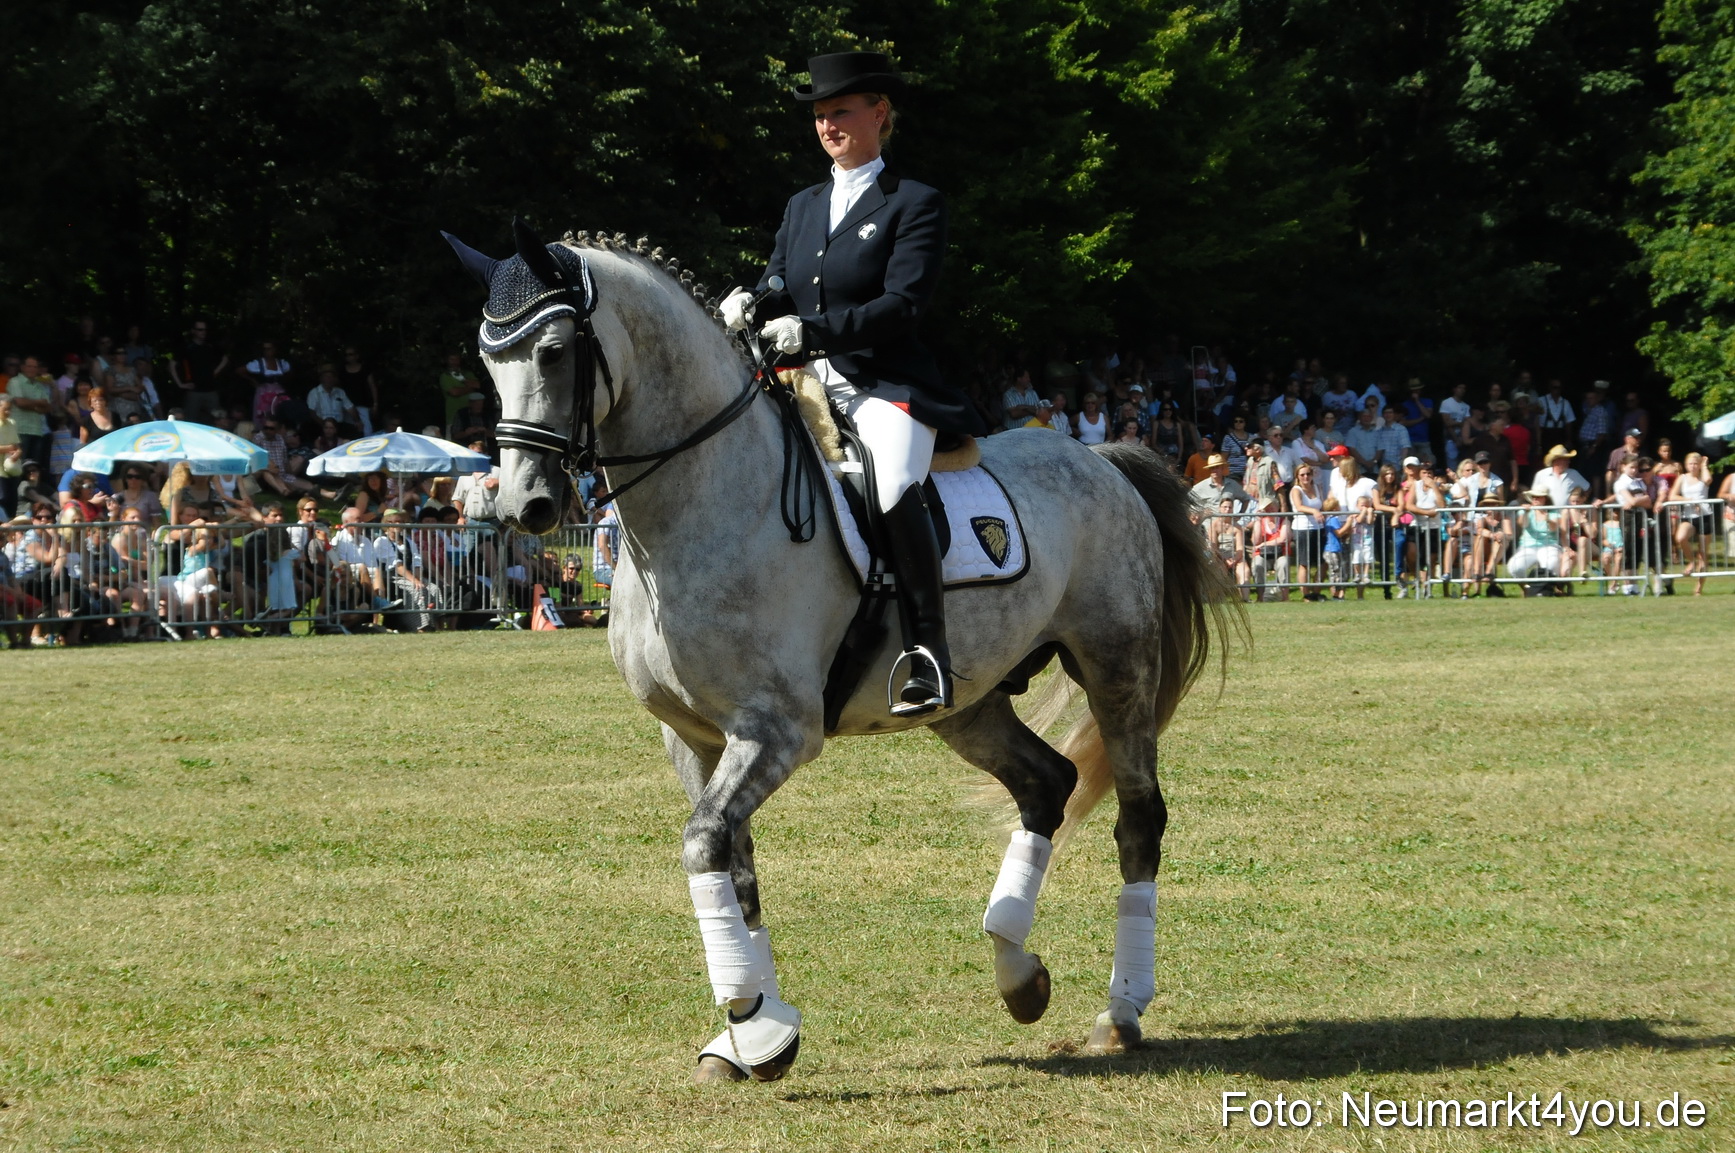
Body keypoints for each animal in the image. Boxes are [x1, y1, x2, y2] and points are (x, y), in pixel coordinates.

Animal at [445, 220, 1237, 1082]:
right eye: (487, 360)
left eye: (555, 351)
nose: (525, 506)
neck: (702, 503)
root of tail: (1100, 459)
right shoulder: (693, 735)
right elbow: (732, 865)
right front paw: (751, 1035)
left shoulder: (776, 731)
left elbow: (702, 842)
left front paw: (752, 1019)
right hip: (969, 701)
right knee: (1045, 781)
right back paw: (1016, 971)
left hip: (1116, 664)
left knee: (1138, 817)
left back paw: (1119, 1010)